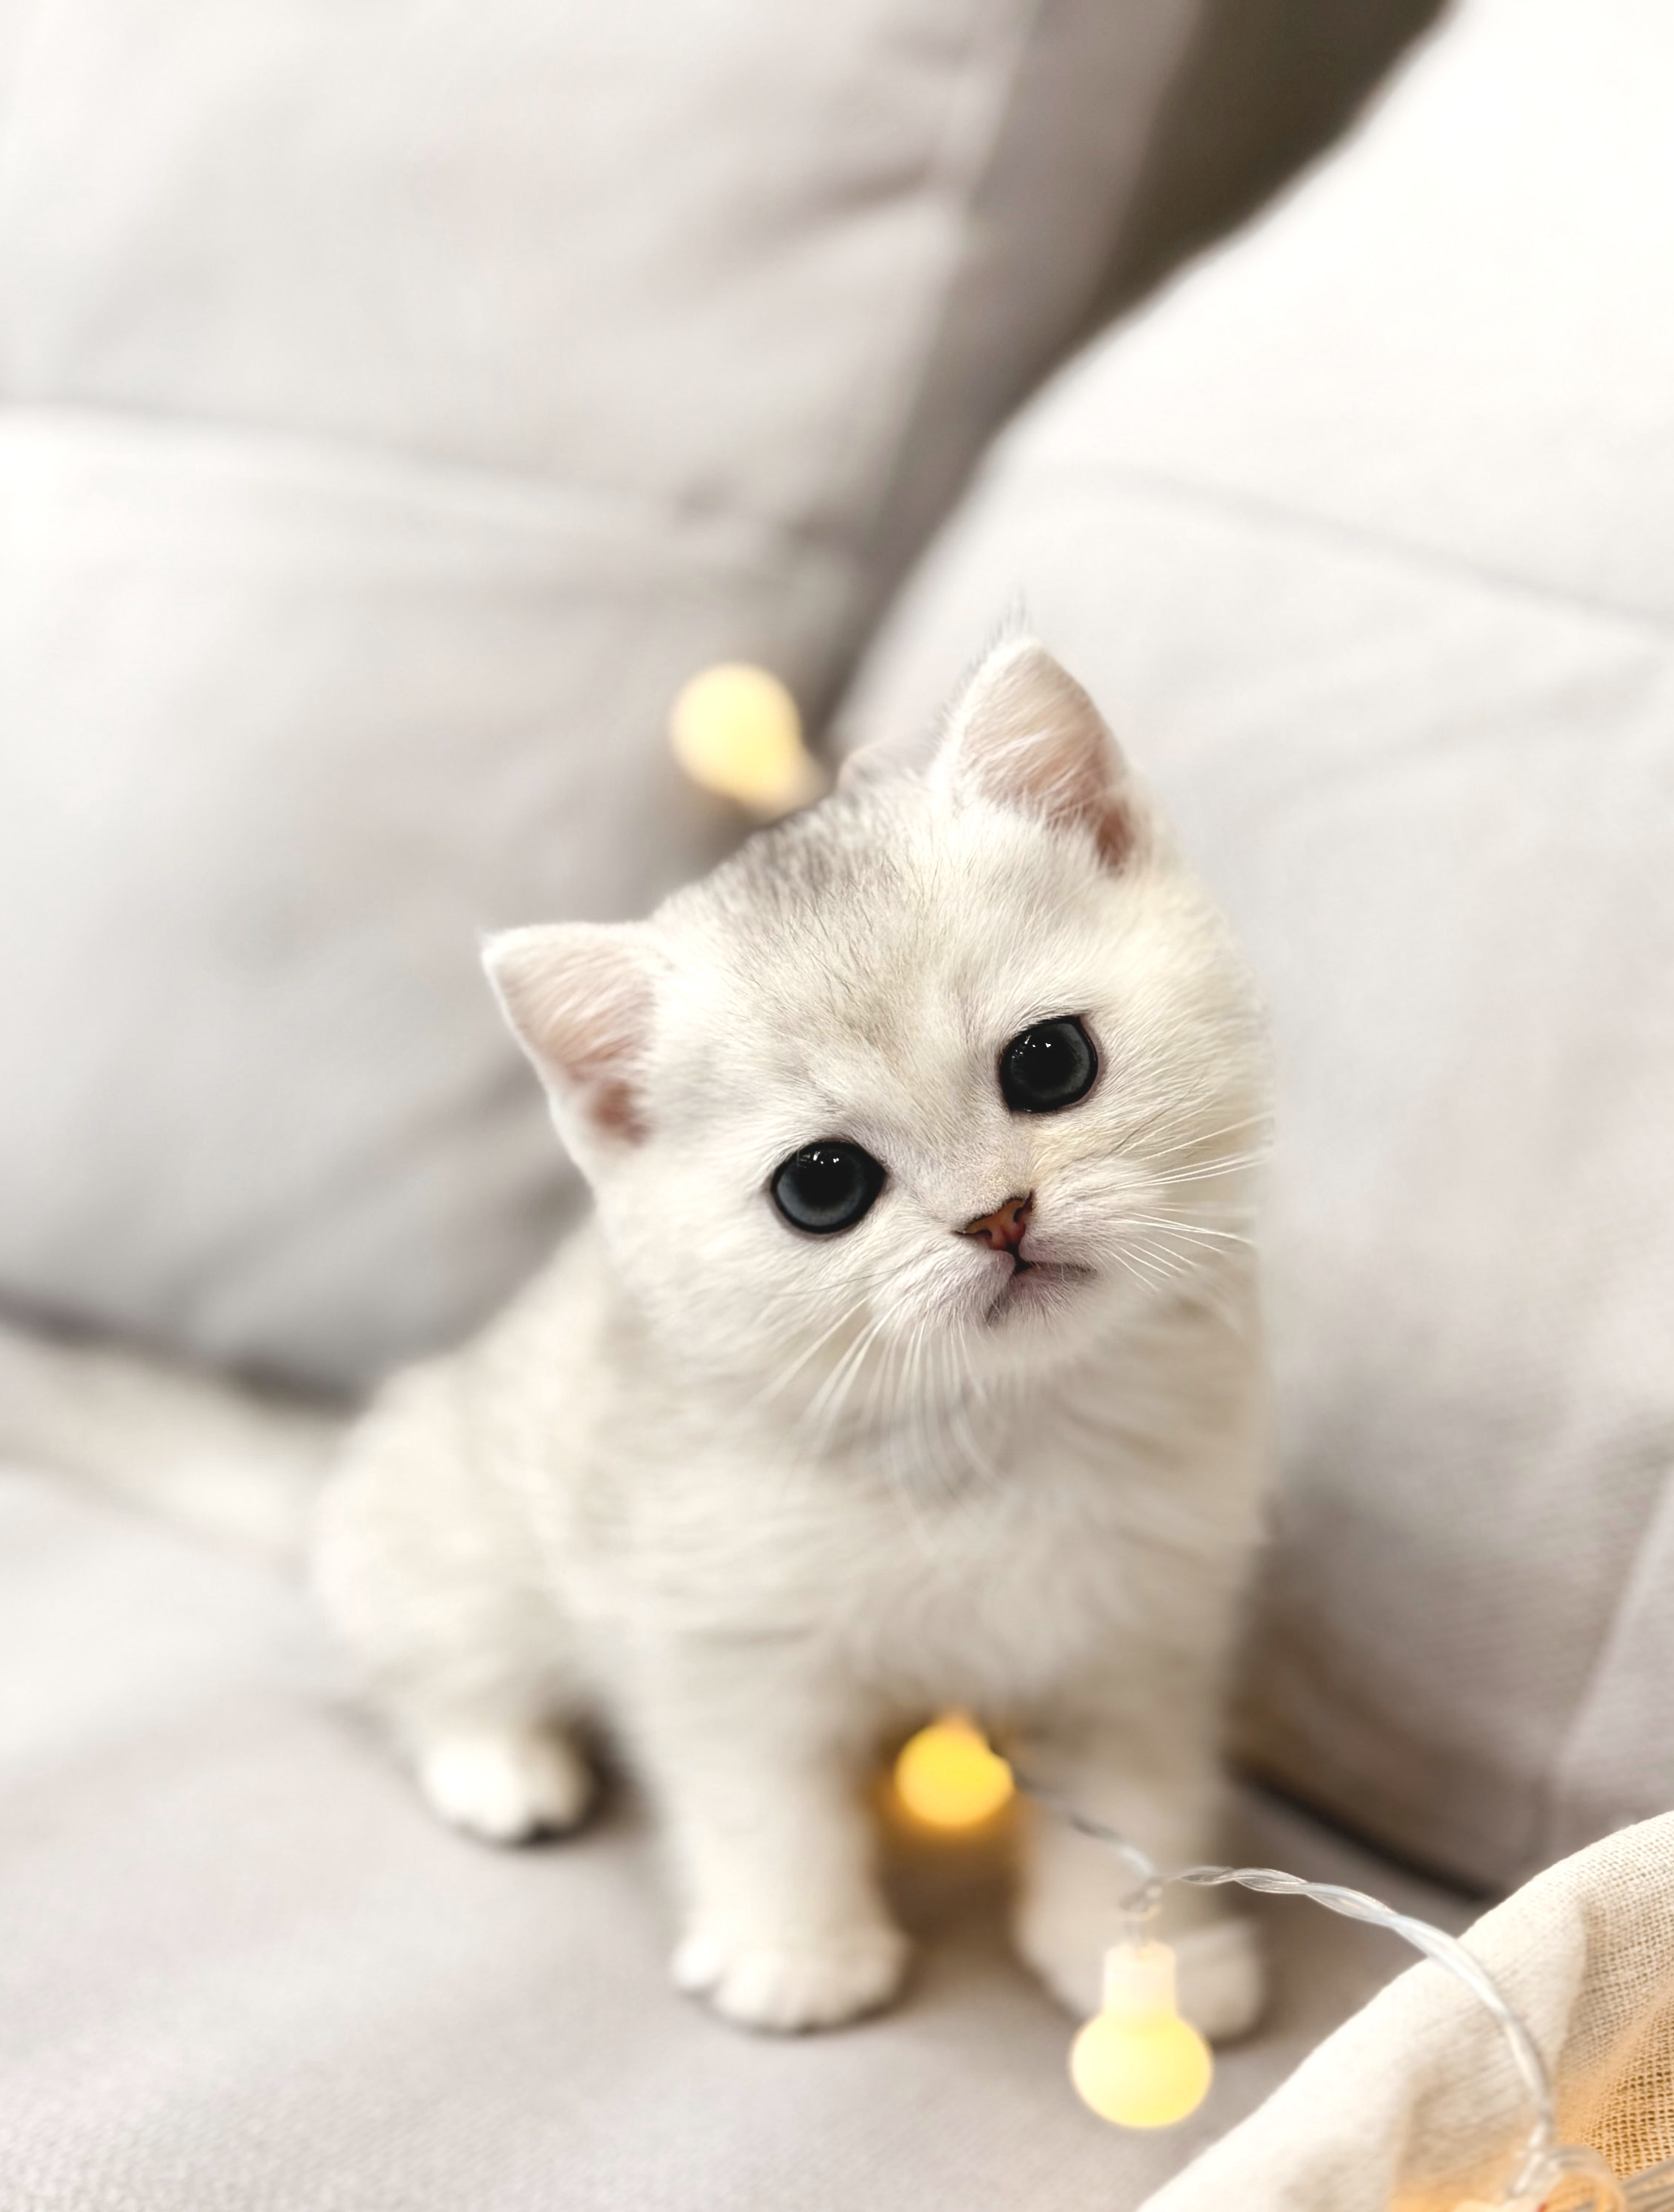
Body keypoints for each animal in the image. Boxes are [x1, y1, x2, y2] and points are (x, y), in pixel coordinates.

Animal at [0, 637, 1272, 2040]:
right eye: (822, 1187)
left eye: (1050, 1063)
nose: (997, 1217)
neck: (995, 1435)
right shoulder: (719, 1651)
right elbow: (763, 1812)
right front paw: (796, 1956)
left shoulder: (1143, 1646)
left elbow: (1138, 1816)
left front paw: (1152, 1971)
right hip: (457, 1531)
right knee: (409, 1659)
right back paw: (498, 1763)